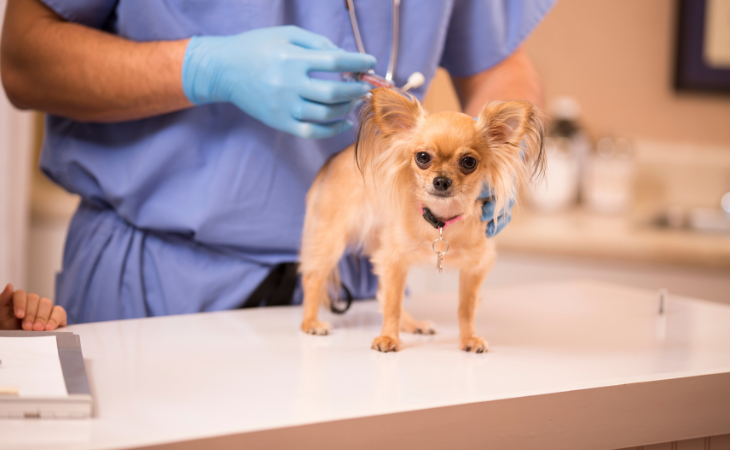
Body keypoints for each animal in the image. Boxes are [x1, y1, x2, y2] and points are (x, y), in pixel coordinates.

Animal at [298, 88, 544, 354]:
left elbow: (465, 308)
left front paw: (469, 338)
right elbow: (392, 304)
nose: (442, 180)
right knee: (313, 279)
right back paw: (311, 323)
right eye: (423, 157)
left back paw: (412, 325)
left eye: (469, 162)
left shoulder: (474, 267)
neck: (439, 221)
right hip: (331, 239)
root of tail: (333, 159)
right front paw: (387, 337)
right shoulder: (393, 259)